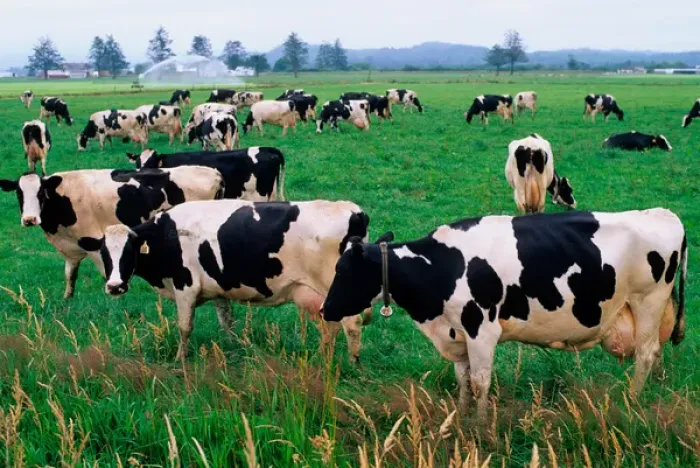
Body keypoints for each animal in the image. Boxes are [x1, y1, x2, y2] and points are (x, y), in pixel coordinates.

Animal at [0, 167, 224, 298]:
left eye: (40, 192)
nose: (29, 219)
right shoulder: (71, 249)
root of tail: (214, 172)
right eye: (19, 193)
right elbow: (70, 275)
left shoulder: (93, 241)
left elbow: (105, 271)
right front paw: (67, 300)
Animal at [99, 199, 376, 361]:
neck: (167, 233)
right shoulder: (218, 288)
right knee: (331, 326)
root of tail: (352, 210)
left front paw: (180, 359)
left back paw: (352, 364)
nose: (114, 286)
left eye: (129, 251)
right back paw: (322, 358)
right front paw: (234, 346)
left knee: (352, 324)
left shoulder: (185, 285)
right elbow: (227, 321)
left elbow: (184, 327)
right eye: (104, 253)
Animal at [322, 209, 687, 421]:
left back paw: (632, 401)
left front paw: (481, 428)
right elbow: (463, 379)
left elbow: (481, 382)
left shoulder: (481, 330)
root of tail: (664, 213)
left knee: (646, 354)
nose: (325, 309)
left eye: (343, 271)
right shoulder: (457, 333)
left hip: (648, 302)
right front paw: (461, 417)